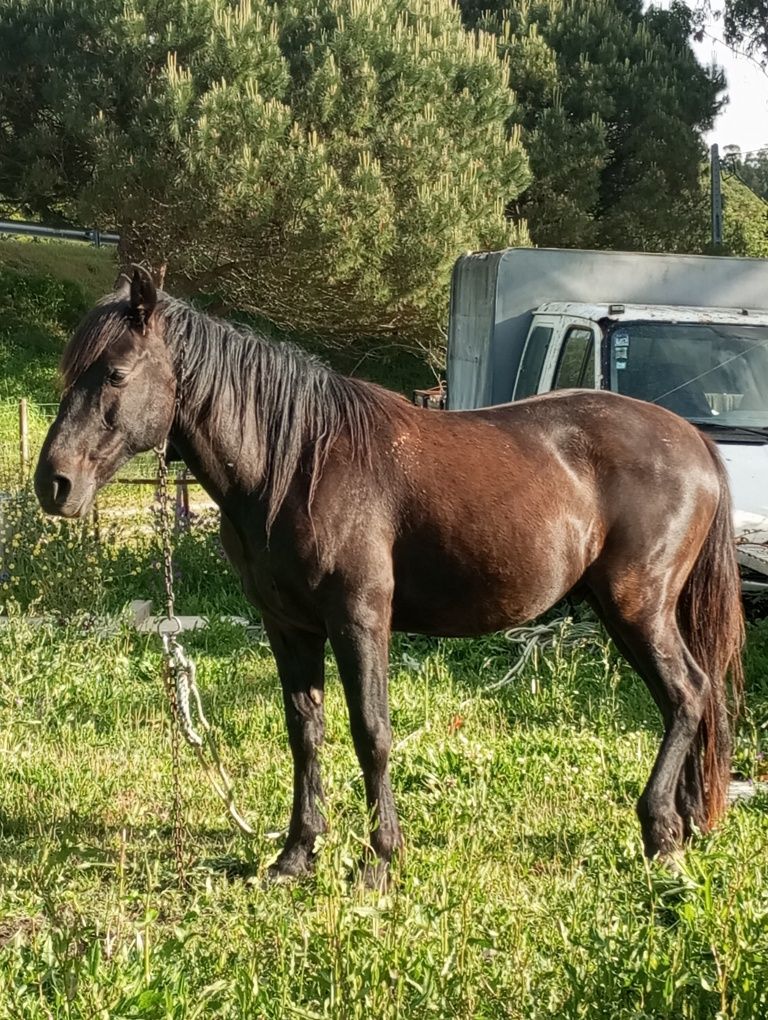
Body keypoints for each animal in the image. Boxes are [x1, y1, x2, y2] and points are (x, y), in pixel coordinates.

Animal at [34, 267, 742, 881]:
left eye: (116, 372)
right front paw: (297, 855)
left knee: (687, 695)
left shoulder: (359, 620)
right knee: (686, 700)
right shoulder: (289, 627)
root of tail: (693, 440)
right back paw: (680, 826)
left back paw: (659, 833)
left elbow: (371, 732)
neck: (298, 464)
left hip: (638, 607)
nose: (54, 484)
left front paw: (380, 859)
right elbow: (305, 732)